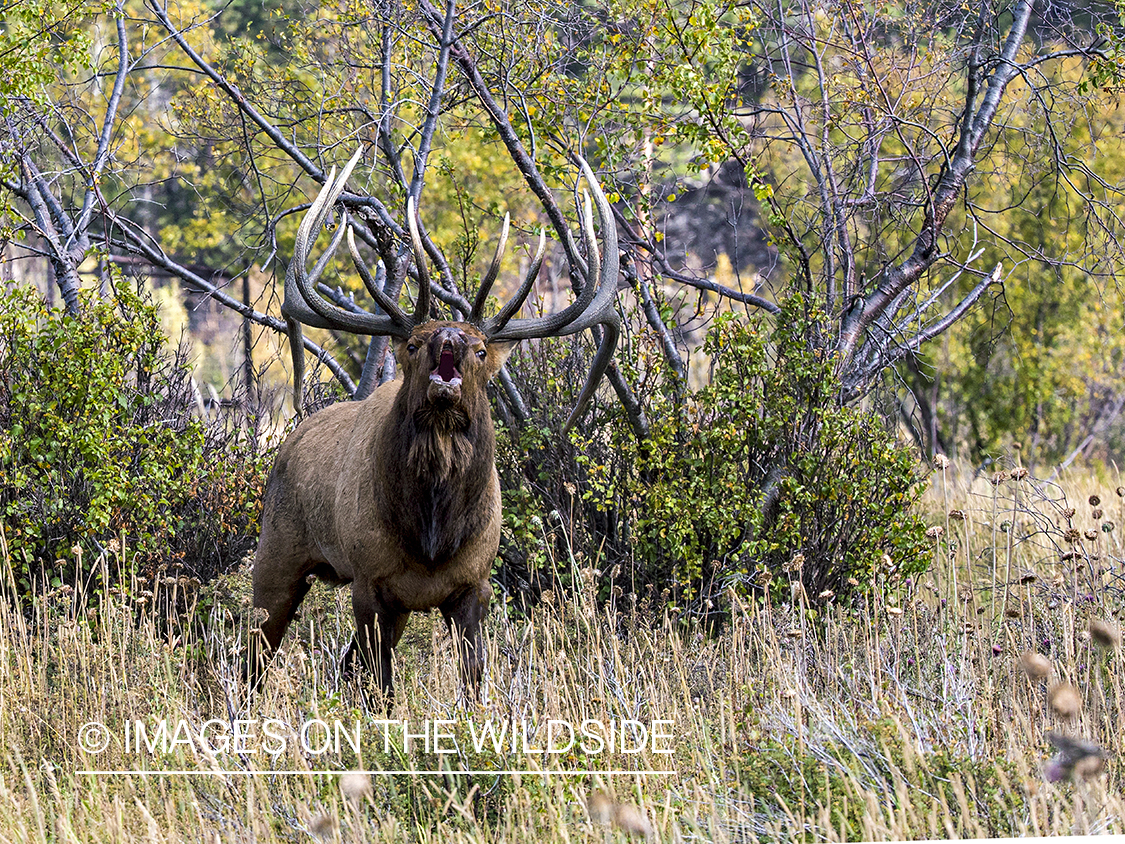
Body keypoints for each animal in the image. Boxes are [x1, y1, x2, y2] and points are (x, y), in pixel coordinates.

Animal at [246, 150, 621, 702]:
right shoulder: (370, 581)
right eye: (414, 343)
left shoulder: (474, 585)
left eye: (482, 349)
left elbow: (473, 679)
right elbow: (380, 686)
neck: (431, 534)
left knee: (340, 665)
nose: (450, 337)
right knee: (253, 652)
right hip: (277, 551)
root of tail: (291, 437)